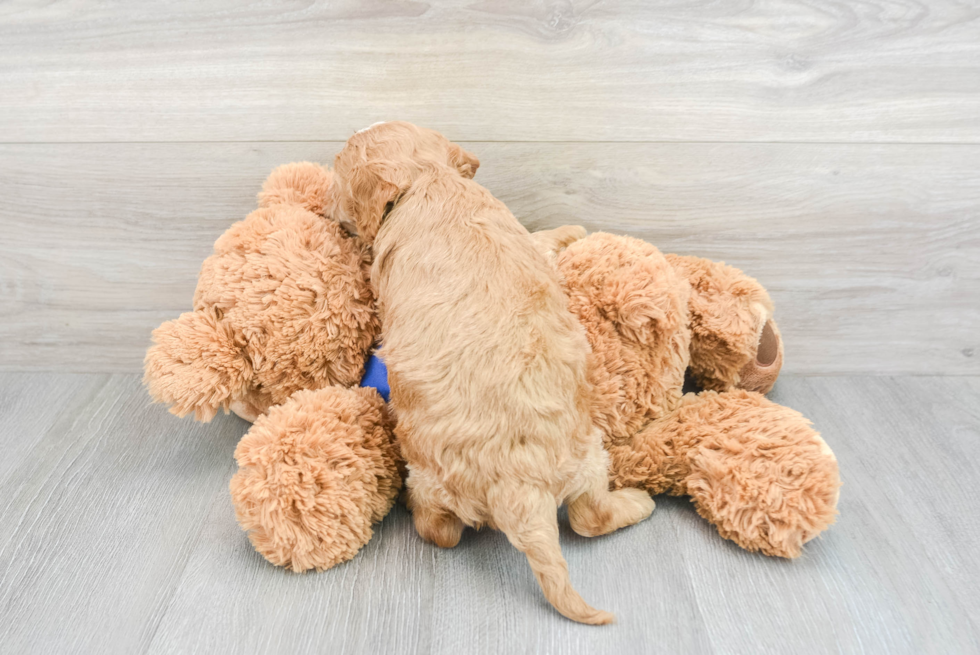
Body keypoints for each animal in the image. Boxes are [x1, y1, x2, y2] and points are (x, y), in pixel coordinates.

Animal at [334, 123, 656, 624]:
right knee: (586, 516)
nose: (333, 217)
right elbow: (542, 237)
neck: (428, 179)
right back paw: (639, 503)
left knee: (446, 531)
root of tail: (519, 489)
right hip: (585, 452)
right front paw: (572, 229)